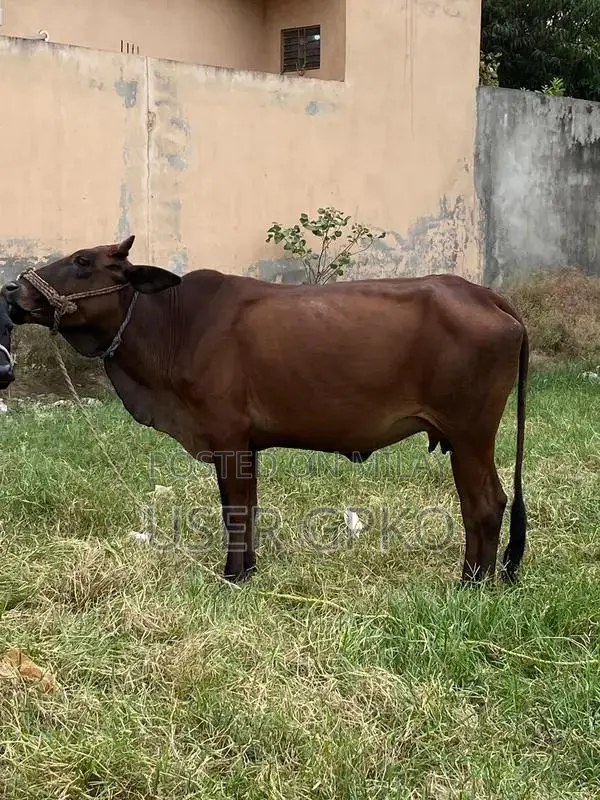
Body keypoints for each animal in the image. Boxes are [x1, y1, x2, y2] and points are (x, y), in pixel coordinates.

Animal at [1, 235, 528, 586]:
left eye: (83, 261)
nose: (11, 291)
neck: (172, 324)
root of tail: (484, 294)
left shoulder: (229, 438)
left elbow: (236, 510)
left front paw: (233, 575)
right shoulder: (242, 445)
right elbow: (245, 508)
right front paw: (248, 568)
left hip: (470, 433)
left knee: (483, 504)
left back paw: (471, 583)